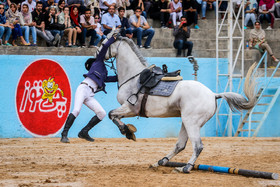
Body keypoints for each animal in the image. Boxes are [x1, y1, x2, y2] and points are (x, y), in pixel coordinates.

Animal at [99, 34, 258, 173]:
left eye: (103, 43)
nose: (96, 56)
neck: (135, 77)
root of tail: (213, 95)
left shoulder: (130, 108)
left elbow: (111, 115)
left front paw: (127, 131)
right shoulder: (128, 110)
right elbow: (114, 116)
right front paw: (129, 131)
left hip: (191, 123)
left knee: (198, 146)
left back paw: (185, 168)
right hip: (186, 122)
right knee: (180, 145)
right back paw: (159, 162)